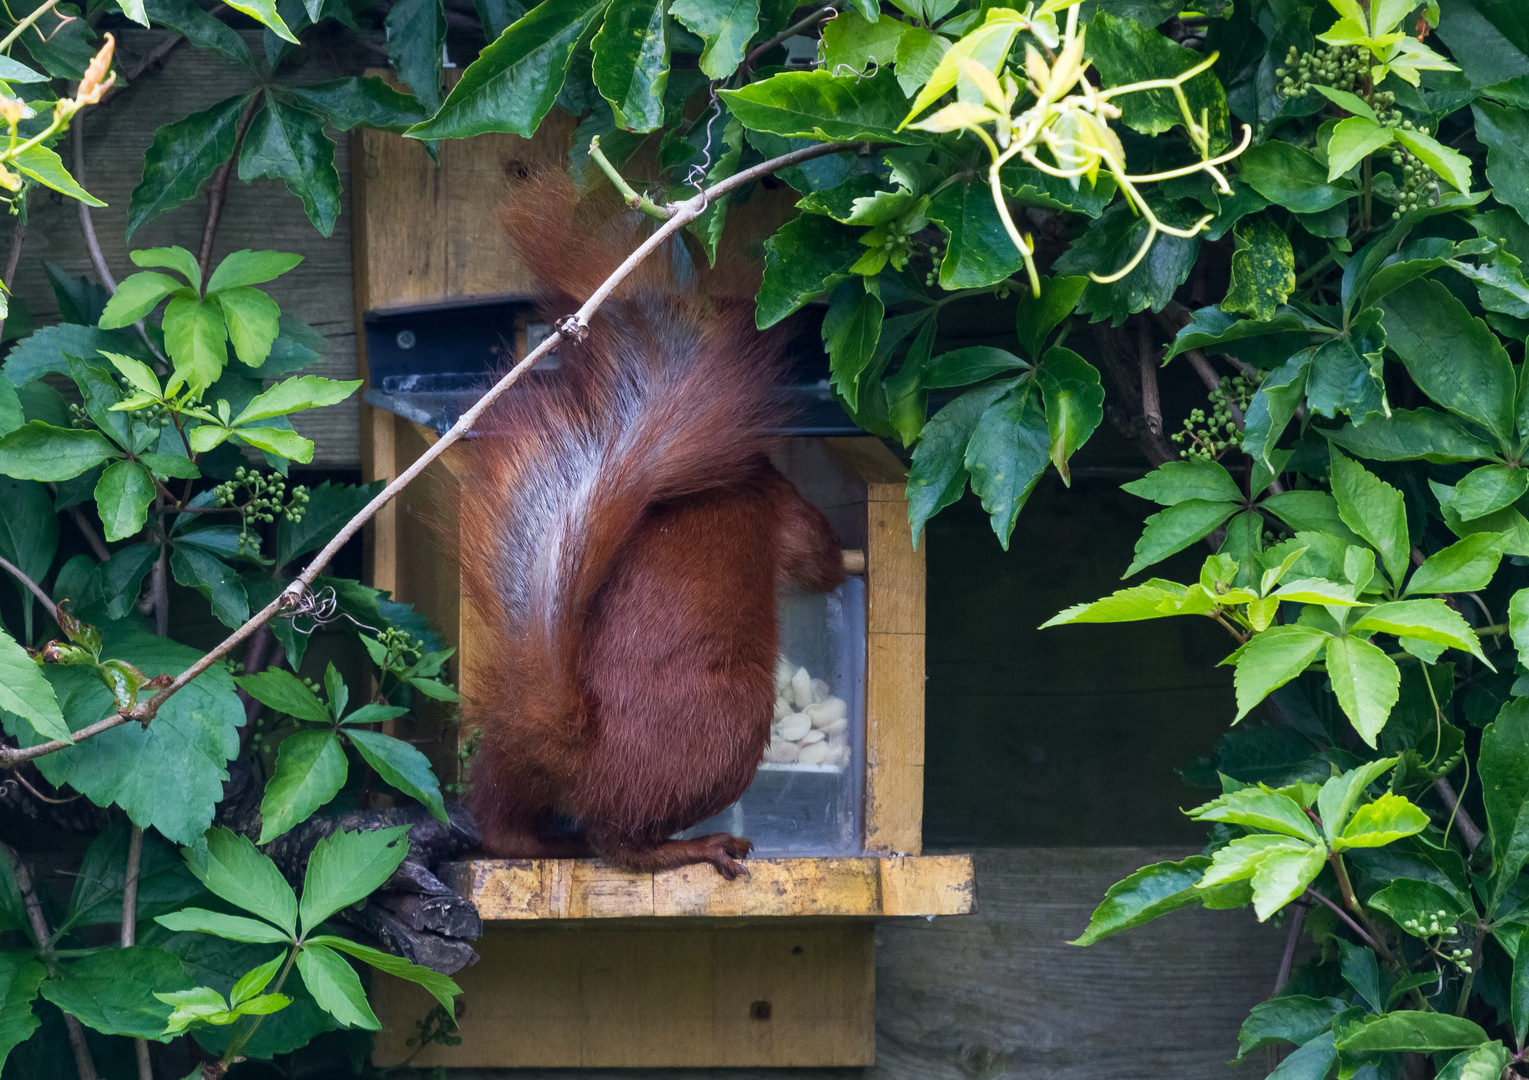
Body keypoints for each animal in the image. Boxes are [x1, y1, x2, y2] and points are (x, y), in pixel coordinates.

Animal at [461, 174, 850, 875]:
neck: (736, 478)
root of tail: (580, 750)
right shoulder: (778, 508)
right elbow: (814, 556)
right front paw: (842, 562)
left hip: (507, 770)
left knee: (510, 830)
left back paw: (539, 840)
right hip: (728, 727)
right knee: (621, 843)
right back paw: (698, 844)